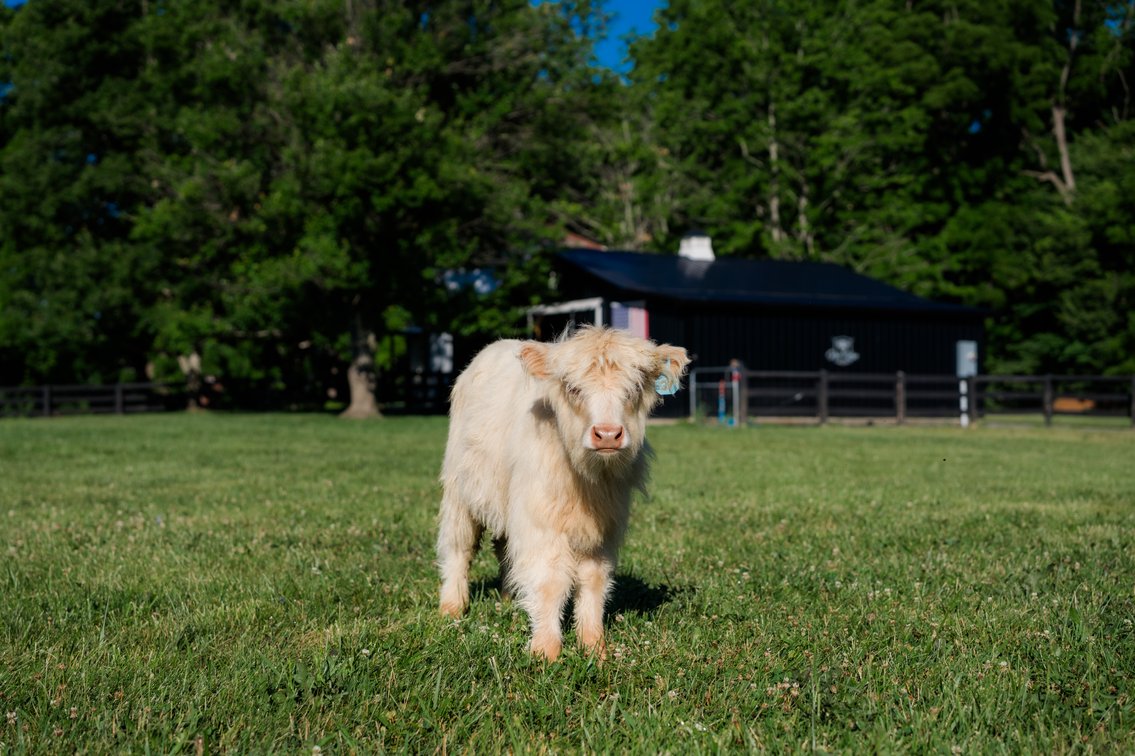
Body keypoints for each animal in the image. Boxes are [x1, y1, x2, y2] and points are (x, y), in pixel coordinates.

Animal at [436, 326, 690, 661]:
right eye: (572, 388)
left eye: (635, 387)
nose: (607, 434)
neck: (587, 482)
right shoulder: (541, 522)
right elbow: (549, 580)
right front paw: (546, 649)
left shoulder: (603, 530)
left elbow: (594, 581)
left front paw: (595, 647)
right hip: (459, 491)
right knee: (459, 548)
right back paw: (452, 607)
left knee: (504, 549)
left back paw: (509, 596)